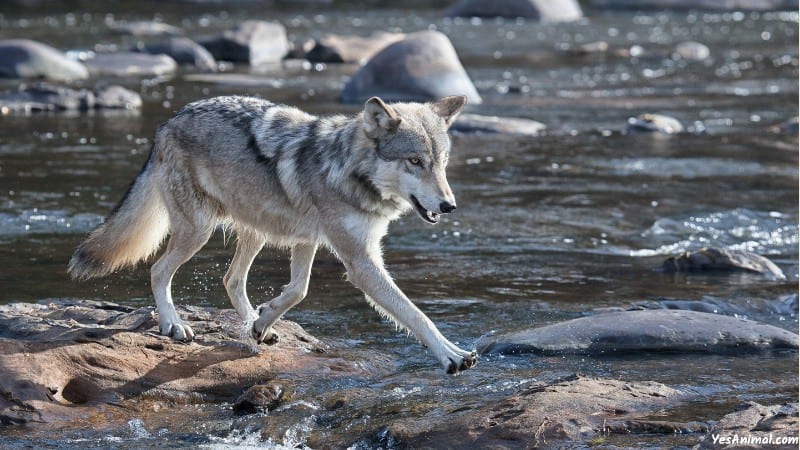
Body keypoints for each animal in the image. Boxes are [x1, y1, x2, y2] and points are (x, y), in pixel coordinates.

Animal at [67, 94, 476, 372]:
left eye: (441, 163)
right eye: (414, 161)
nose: (449, 205)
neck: (348, 170)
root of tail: (169, 121)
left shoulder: (309, 240)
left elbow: (298, 290)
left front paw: (262, 322)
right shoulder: (360, 261)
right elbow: (414, 314)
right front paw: (451, 355)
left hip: (256, 231)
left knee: (231, 278)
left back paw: (253, 324)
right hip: (199, 230)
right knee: (158, 269)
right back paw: (173, 324)